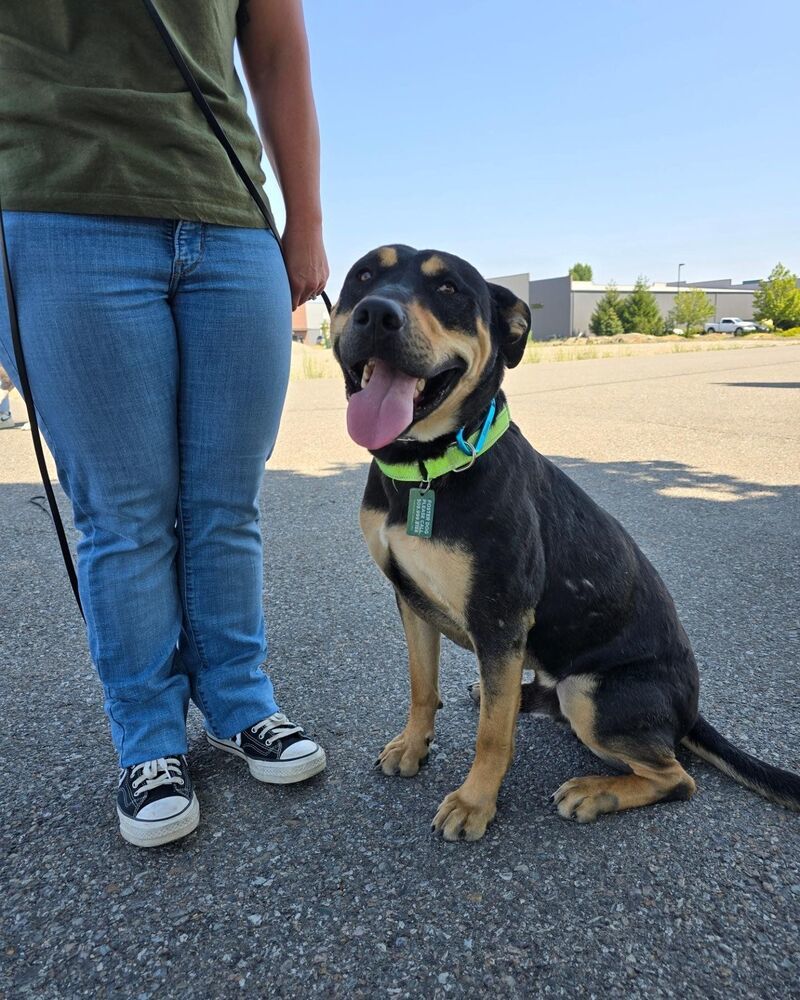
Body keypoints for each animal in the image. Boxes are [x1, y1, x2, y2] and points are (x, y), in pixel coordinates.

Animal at [332, 246, 800, 840]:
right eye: (363, 276)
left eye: (449, 290)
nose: (376, 313)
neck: (424, 471)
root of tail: (690, 711)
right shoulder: (411, 600)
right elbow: (422, 688)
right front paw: (414, 747)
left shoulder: (500, 618)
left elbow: (492, 737)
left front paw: (475, 802)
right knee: (534, 699)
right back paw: (511, 697)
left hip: (590, 692)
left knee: (677, 778)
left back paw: (595, 791)